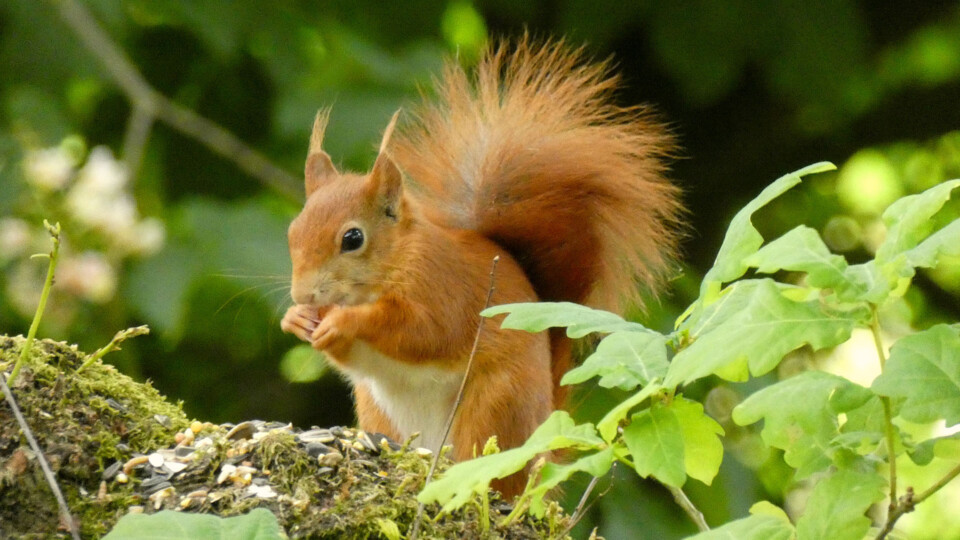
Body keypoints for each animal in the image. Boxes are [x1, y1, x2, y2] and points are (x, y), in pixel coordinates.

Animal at [280, 38, 682, 497]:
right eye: (293, 230)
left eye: (352, 238)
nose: (303, 294)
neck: (396, 261)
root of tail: (542, 450)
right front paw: (297, 320)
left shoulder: (442, 289)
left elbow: (421, 332)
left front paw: (343, 322)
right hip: (381, 411)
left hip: (493, 407)